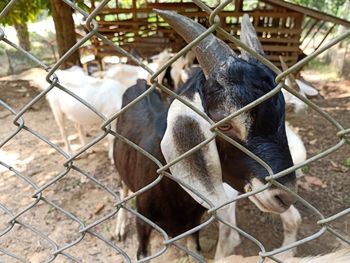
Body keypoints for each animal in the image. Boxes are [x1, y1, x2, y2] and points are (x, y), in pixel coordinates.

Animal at [114, 11, 298, 260]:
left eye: (282, 113)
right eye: (225, 124)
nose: (285, 196)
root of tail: (139, 83)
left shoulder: (194, 225)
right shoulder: (144, 223)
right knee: (122, 186)